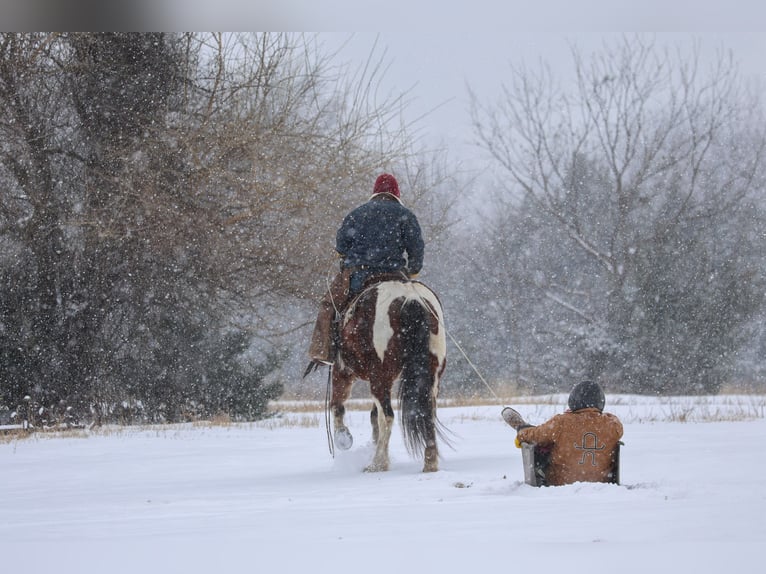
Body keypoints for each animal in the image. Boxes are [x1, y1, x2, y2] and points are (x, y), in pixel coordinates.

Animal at [329, 279, 448, 473]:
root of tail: (411, 297)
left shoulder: (342, 370)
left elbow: (337, 405)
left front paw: (343, 438)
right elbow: (372, 416)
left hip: (380, 378)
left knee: (387, 417)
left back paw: (378, 463)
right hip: (431, 376)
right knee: (428, 412)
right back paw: (430, 463)